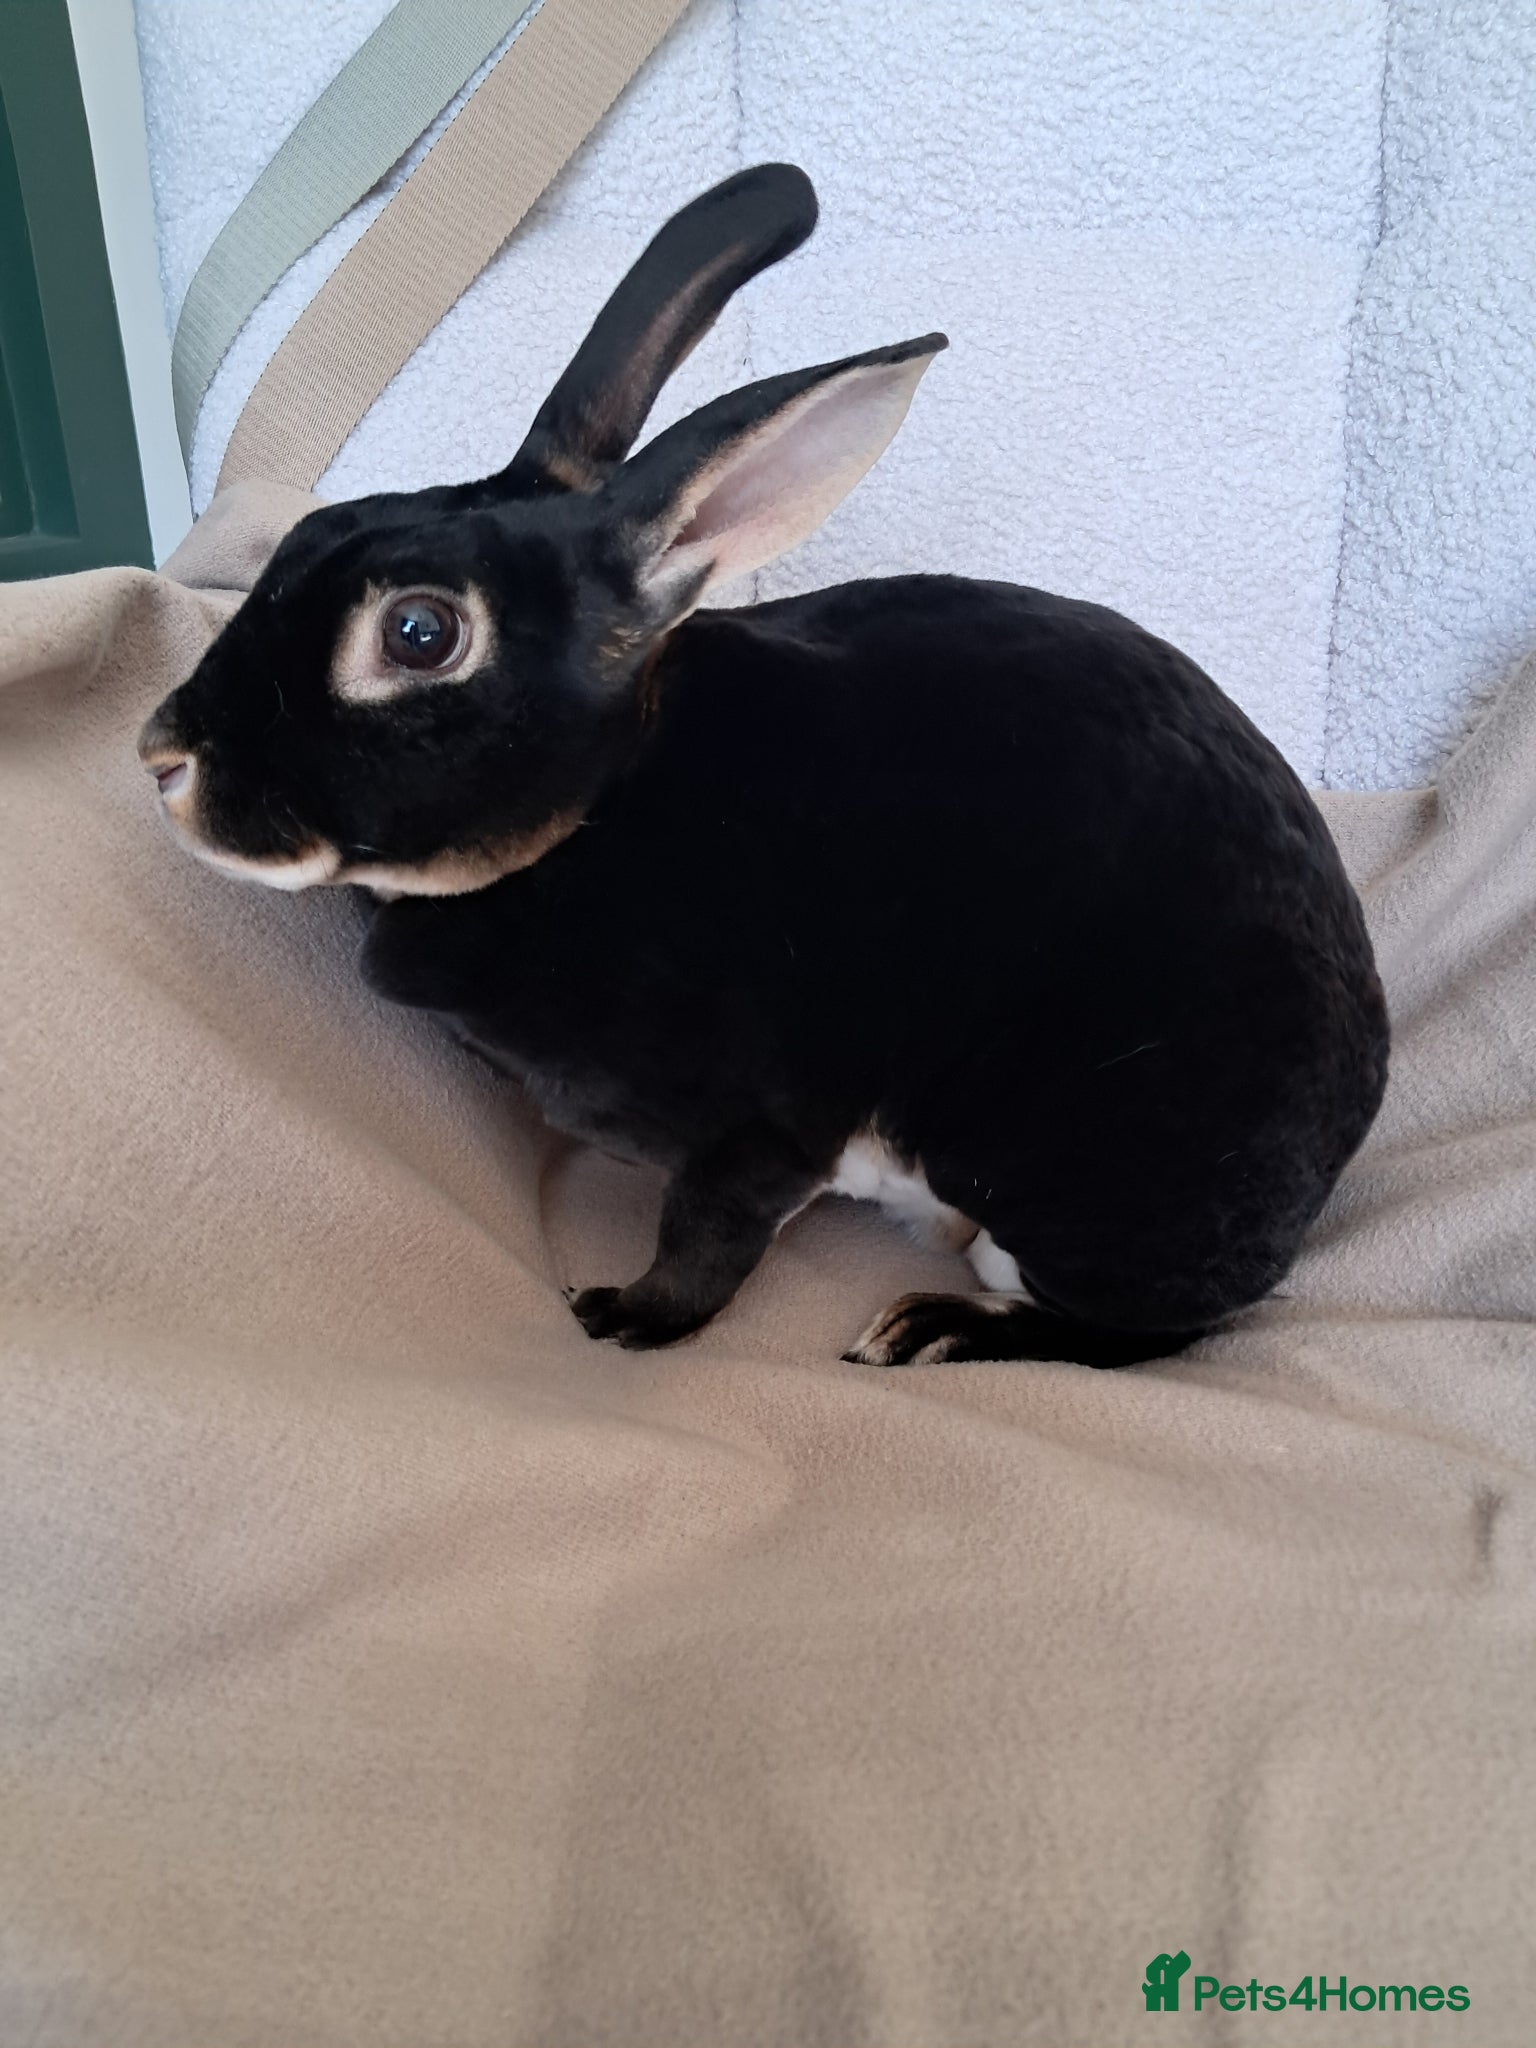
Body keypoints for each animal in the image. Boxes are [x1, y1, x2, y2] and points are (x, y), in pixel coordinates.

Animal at [139, 162, 1389, 1368]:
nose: (163, 753)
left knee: (1140, 1331)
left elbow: (710, 1236)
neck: (600, 810)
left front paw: (624, 1314)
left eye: (418, 633)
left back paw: (926, 1327)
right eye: (303, 537)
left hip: (1072, 1174)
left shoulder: (765, 1122)